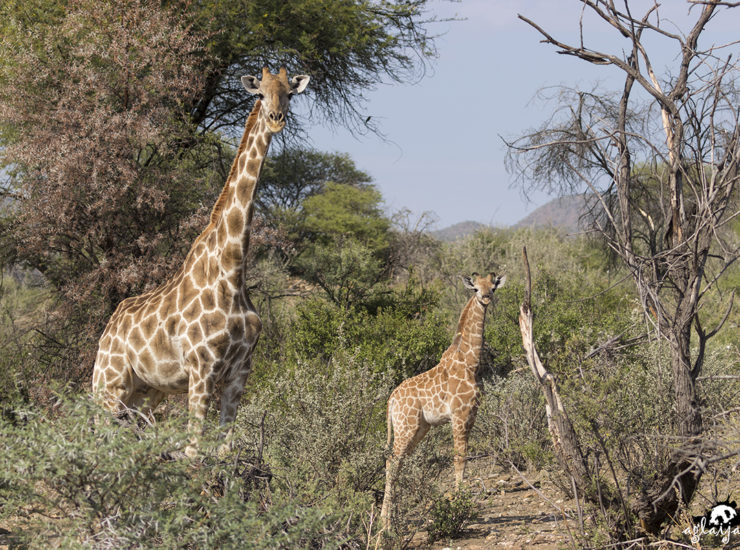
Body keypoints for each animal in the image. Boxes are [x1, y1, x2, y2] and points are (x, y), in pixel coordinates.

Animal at [92, 68, 310, 458]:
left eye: (289, 94)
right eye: (260, 94)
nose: (276, 119)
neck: (233, 270)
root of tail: (107, 329)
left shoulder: (240, 372)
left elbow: (223, 452)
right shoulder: (202, 369)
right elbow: (193, 453)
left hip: (146, 391)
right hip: (108, 383)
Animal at [378, 272, 506, 532]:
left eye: (493, 287)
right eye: (476, 288)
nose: (486, 298)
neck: (470, 362)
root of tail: (391, 400)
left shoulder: (472, 414)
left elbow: (462, 457)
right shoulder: (459, 414)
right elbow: (459, 458)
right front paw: (459, 504)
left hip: (419, 428)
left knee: (398, 463)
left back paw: (393, 518)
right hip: (405, 427)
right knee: (392, 462)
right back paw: (385, 524)